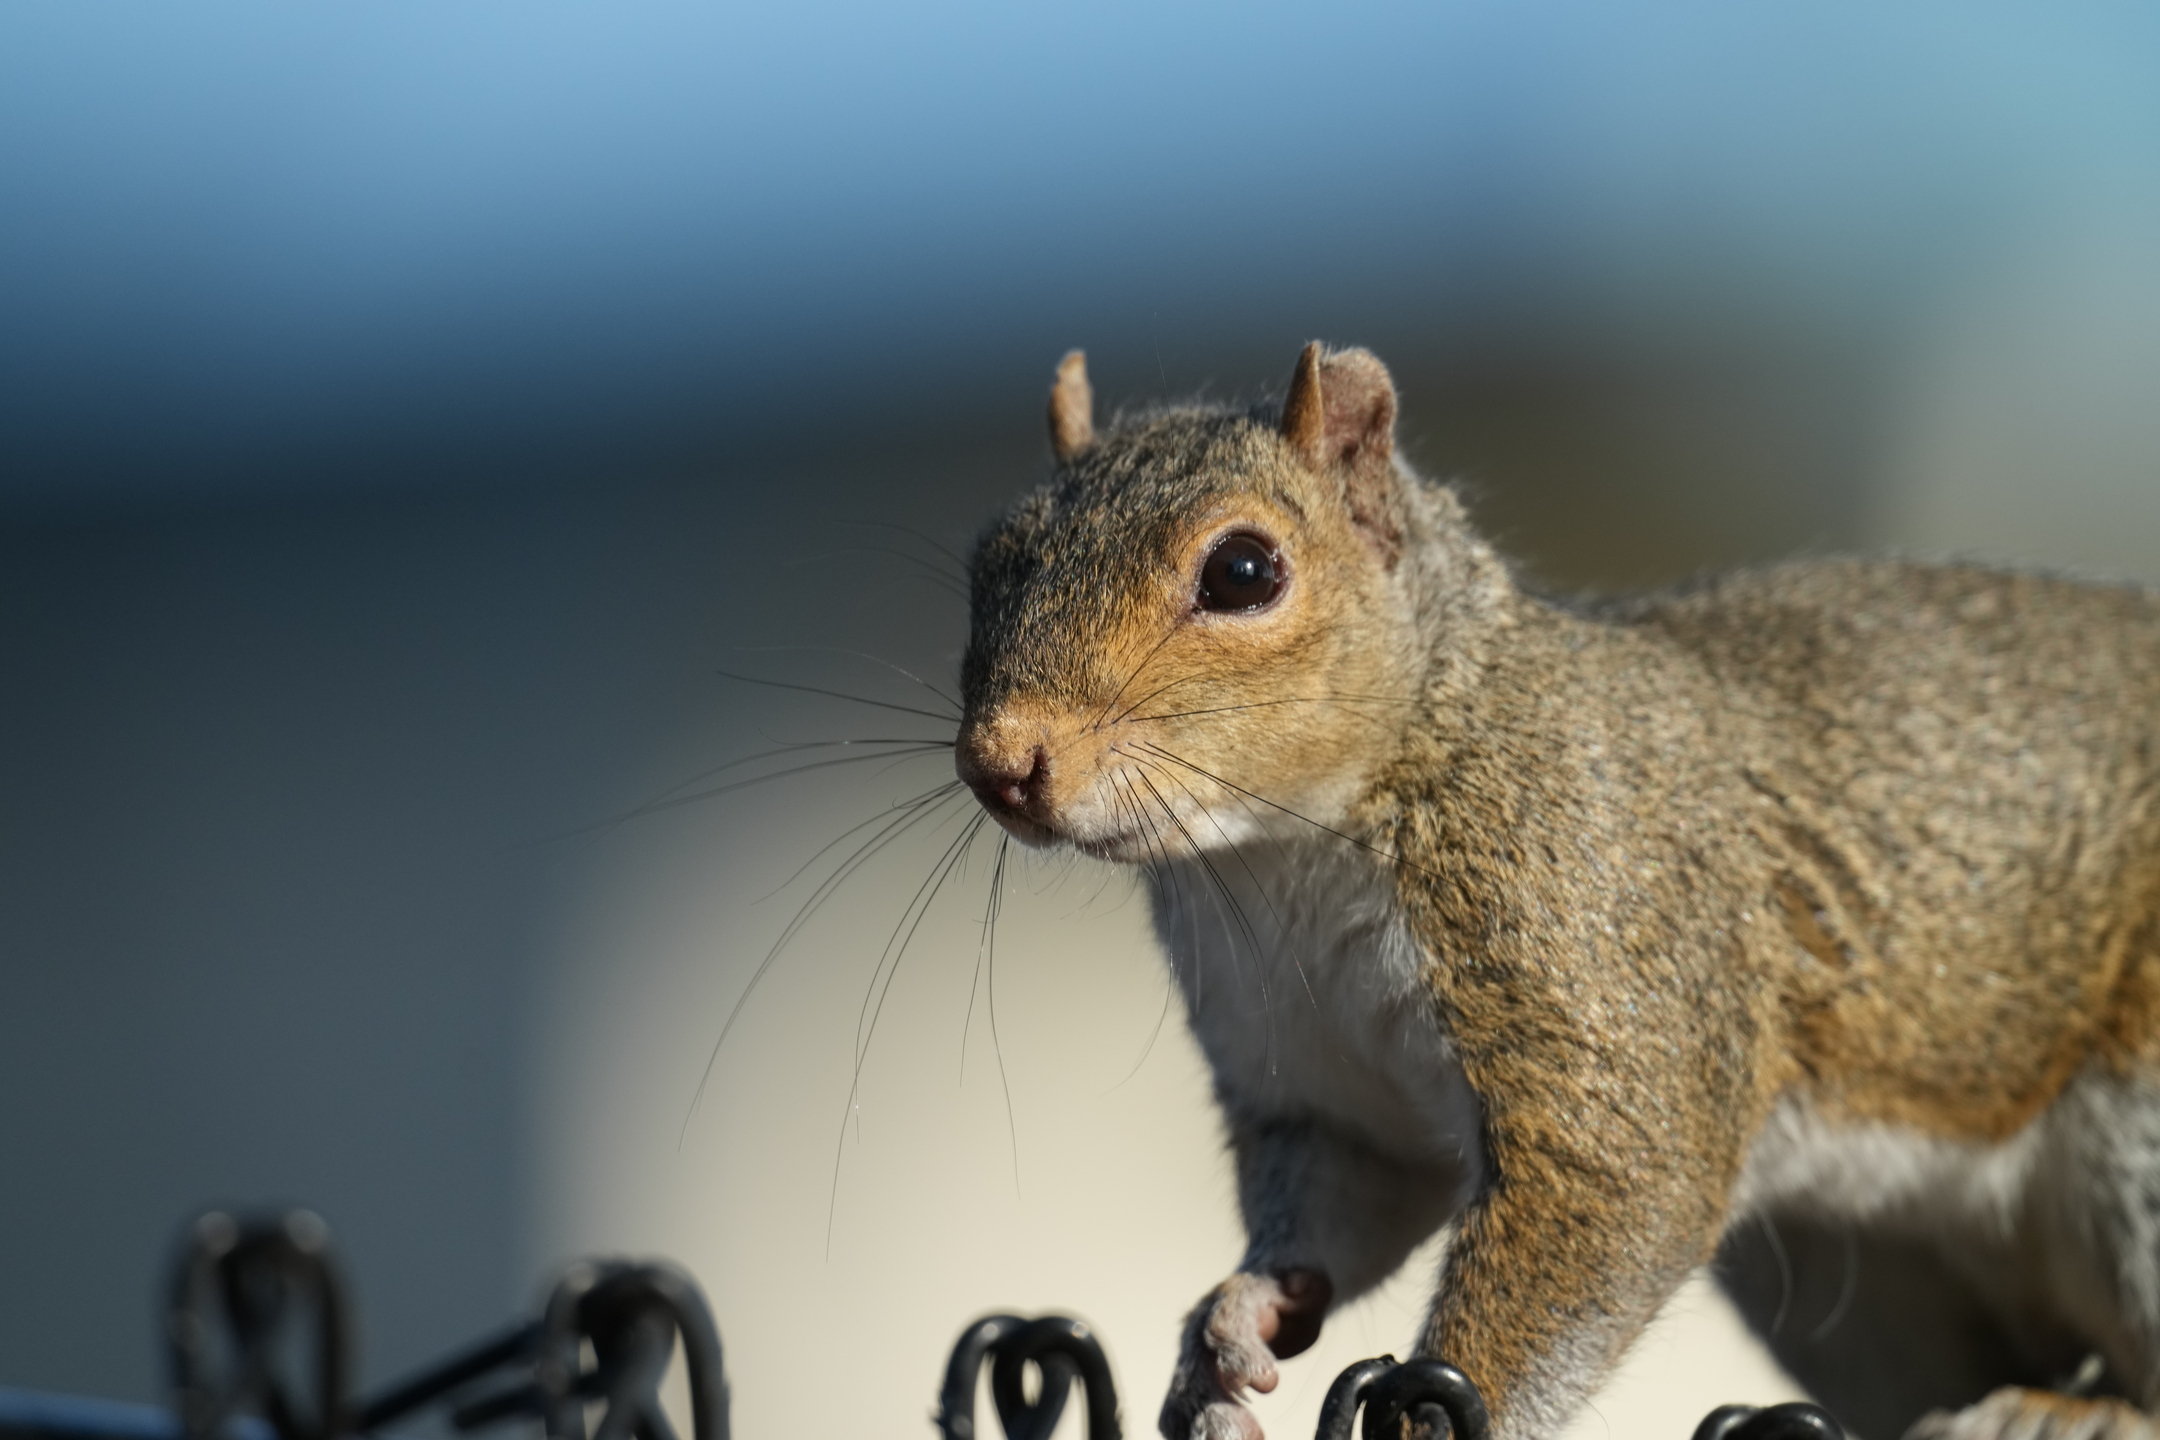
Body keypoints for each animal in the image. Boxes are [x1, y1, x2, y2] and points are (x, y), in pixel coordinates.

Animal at [951, 344, 2160, 1440]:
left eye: (1243, 572)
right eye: (988, 562)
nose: (1002, 762)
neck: (1283, 853)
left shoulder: (1598, 947)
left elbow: (1607, 1203)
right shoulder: (1328, 1094)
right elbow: (1342, 1212)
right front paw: (1230, 1330)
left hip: (2136, 1147)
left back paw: (2068, 1412)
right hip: (1854, 1280)